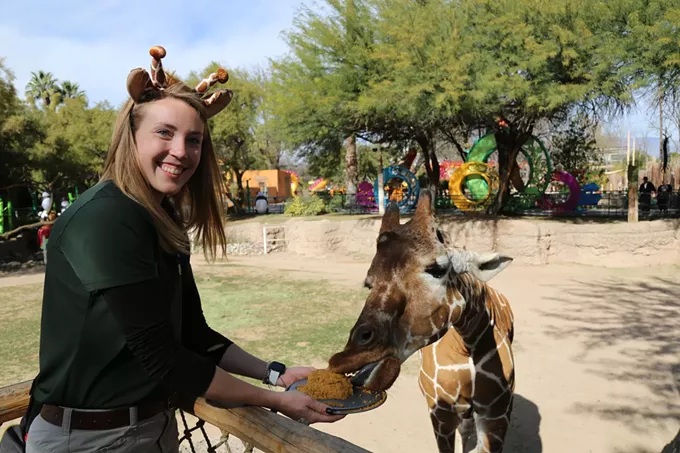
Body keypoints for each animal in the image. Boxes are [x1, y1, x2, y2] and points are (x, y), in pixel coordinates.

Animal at [330, 192, 516, 452]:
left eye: (437, 269)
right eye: (369, 283)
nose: (345, 359)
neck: (466, 344)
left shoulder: (496, 416)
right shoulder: (440, 414)